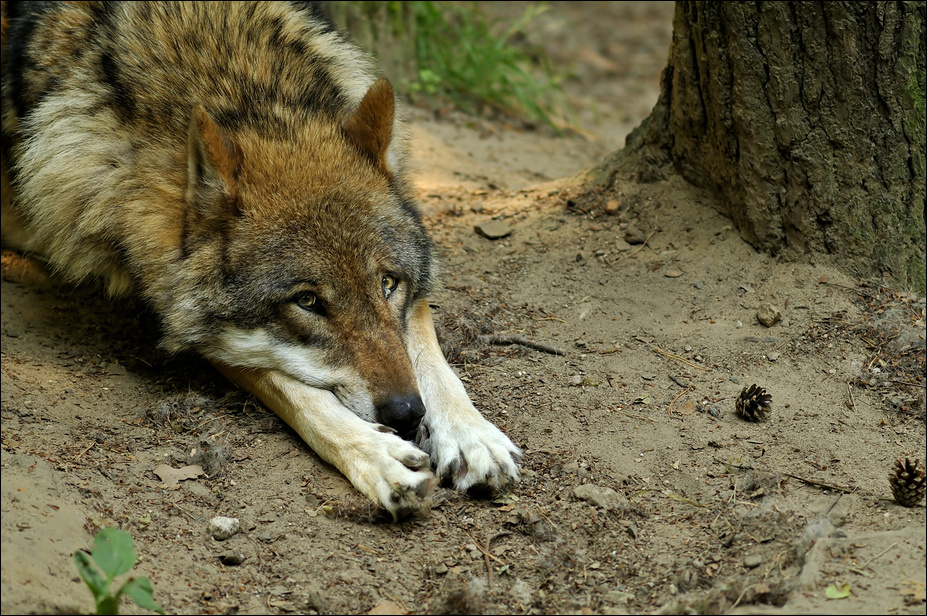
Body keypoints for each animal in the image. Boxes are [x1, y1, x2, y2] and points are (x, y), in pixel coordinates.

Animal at [0, 1, 520, 518]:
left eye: (388, 284)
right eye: (307, 302)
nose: (407, 413)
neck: (238, 86)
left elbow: (424, 341)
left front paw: (470, 433)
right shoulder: (194, 321)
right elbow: (289, 385)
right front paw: (377, 454)